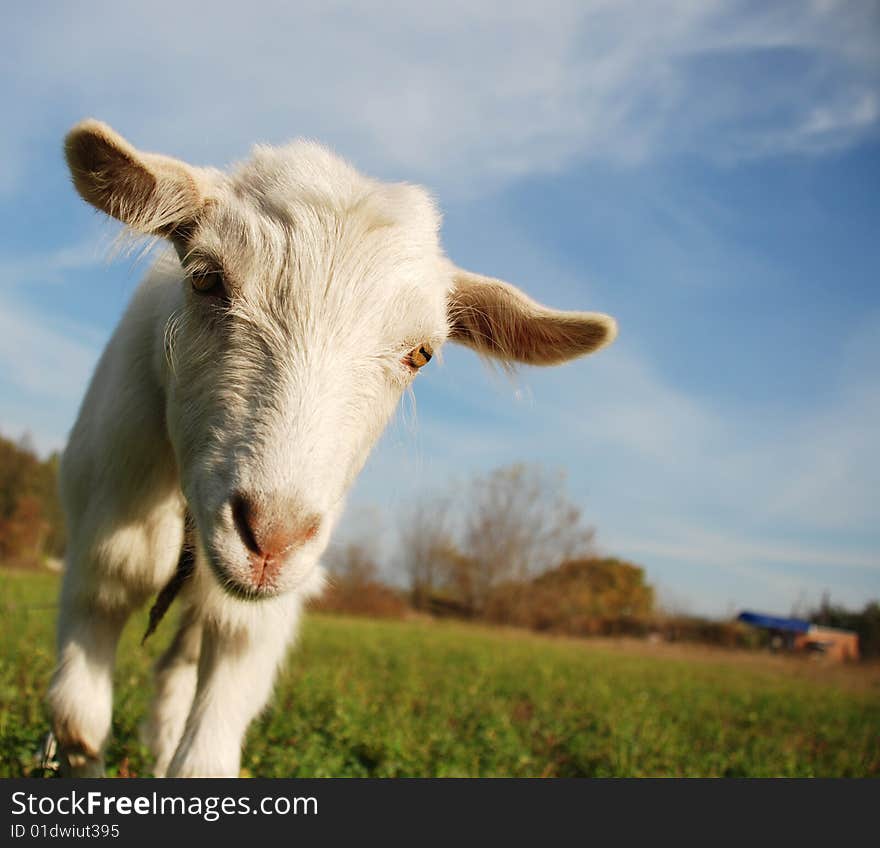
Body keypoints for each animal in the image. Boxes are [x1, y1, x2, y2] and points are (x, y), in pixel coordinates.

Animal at [44, 119, 616, 776]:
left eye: (421, 353)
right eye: (205, 278)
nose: (272, 538)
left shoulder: (260, 616)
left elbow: (206, 755)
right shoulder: (100, 554)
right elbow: (78, 722)